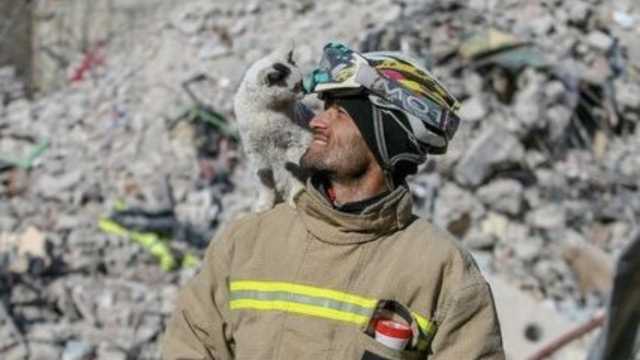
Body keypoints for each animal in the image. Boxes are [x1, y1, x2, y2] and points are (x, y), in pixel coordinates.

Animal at [235, 43, 316, 212]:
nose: (305, 92)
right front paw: (264, 206)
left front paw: (294, 199)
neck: (267, 111)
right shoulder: (256, 153)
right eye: (296, 87)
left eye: (302, 82)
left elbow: (294, 176)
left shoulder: (296, 143)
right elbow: (265, 184)